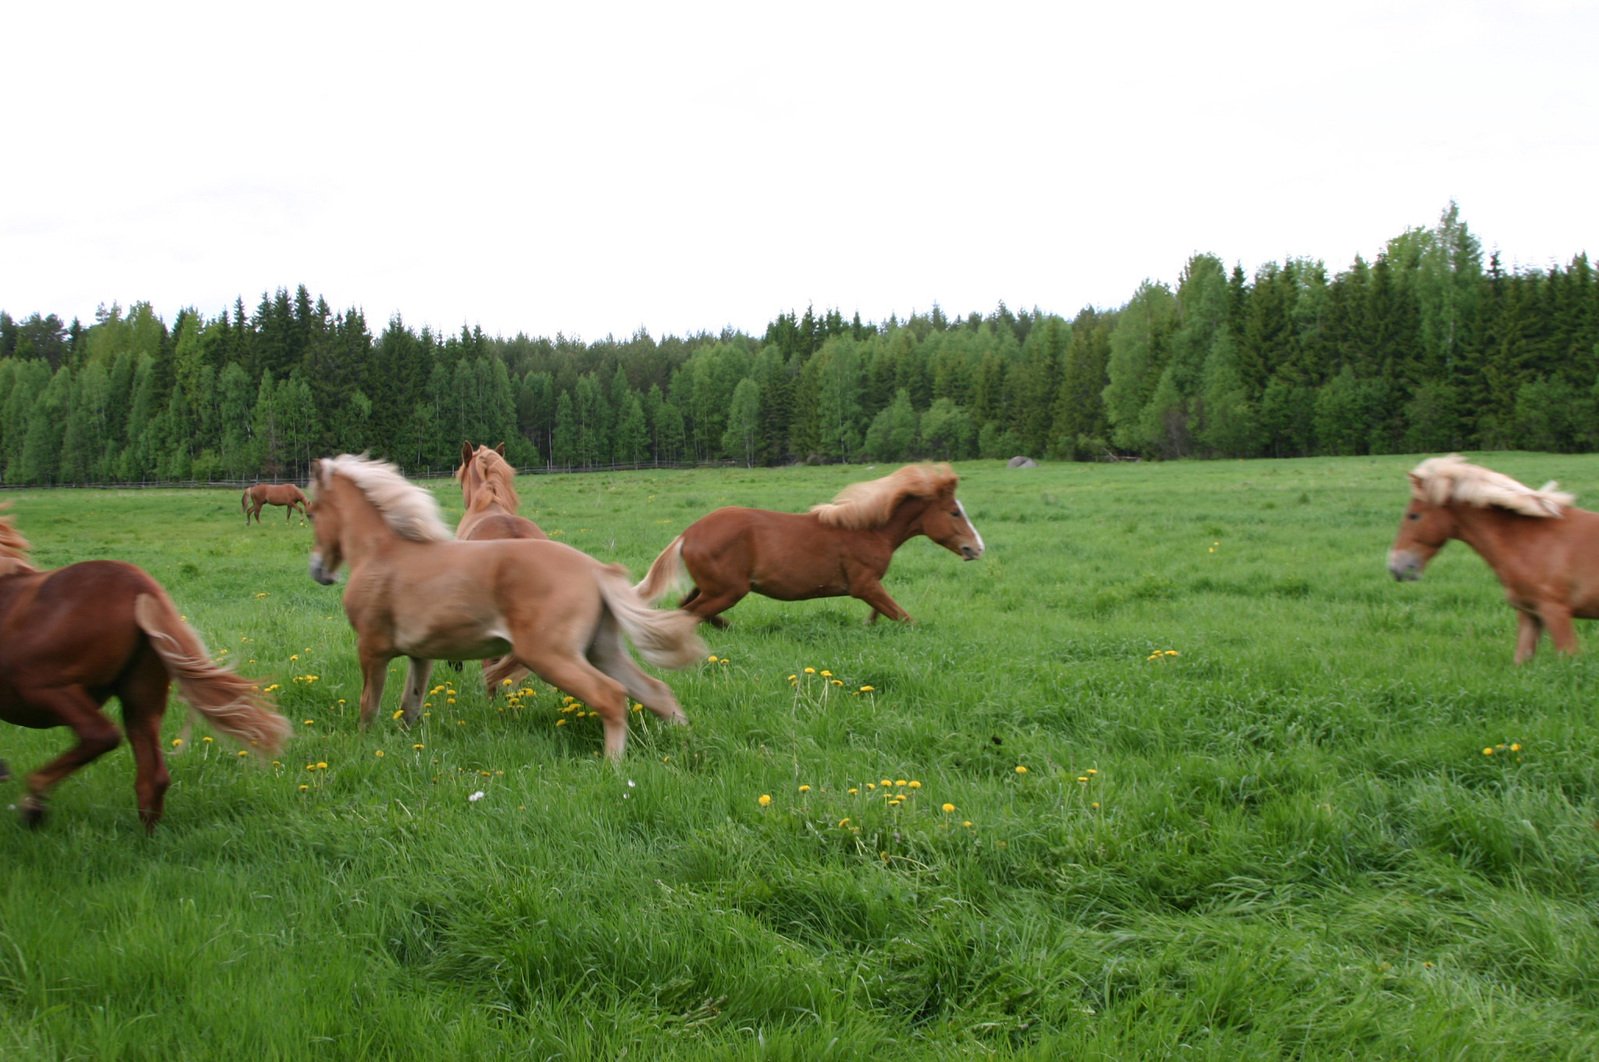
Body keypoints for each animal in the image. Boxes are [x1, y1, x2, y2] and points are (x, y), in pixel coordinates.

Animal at [0, 502, 291, 831]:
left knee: (100, 736)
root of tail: (142, 589)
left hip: (45, 686)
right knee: (153, 778)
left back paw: (33, 804)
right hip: (142, 698)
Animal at [302, 451, 703, 758]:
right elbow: (410, 705)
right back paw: (684, 744)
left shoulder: (371, 648)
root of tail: (596, 571)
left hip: (550, 655)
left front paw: (365, 745)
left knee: (611, 696)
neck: (382, 554)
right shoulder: (421, 655)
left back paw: (612, 766)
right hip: (601, 650)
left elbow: (368, 706)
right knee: (657, 693)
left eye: (311, 512)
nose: (319, 570)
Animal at [636, 463, 984, 626]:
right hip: (728, 590)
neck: (869, 531)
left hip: (712, 587)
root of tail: (688, 533)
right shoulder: (864, 584)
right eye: (954, 512)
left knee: (686, 607)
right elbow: (904, 617)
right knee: (687, 614)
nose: (977, 548)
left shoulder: (871, 586)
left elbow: (881, 614)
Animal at [1381, 454, 1599, 665]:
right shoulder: (1530, 613)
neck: (1533, 540)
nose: (1395, 566)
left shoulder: (1555, 612)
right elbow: (1520, 660)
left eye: (1413, 516)